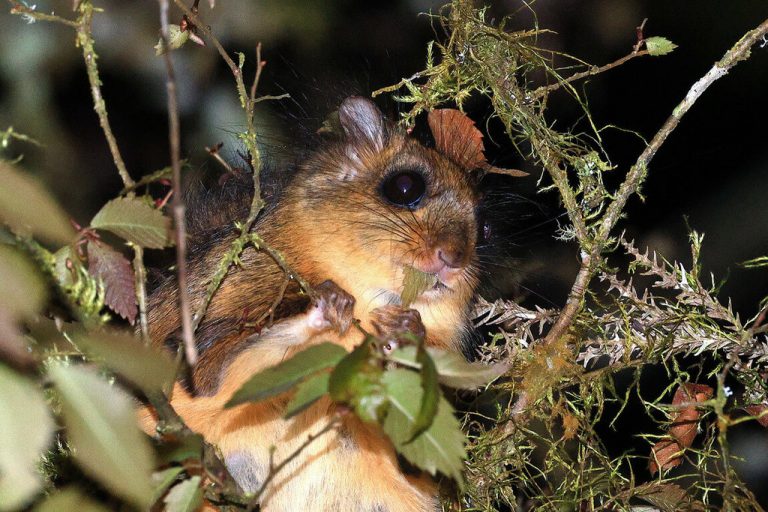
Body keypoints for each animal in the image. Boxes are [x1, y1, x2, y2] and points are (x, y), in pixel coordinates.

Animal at [142, 97, 486, 512]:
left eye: (484, 228)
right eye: (404, 186)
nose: (454, 258)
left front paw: (407, 331)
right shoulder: (232, 288)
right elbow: (209, 369)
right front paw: (326, 305)